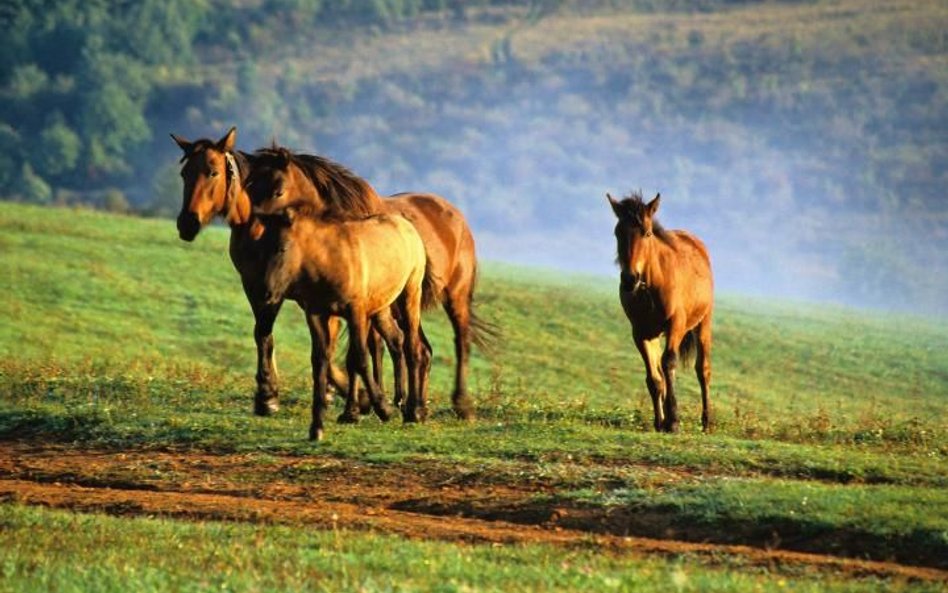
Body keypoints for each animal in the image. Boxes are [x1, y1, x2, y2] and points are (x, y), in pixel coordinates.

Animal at [252, 200, 430, 440]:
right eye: (260, 249)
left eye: (282, 248)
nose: (265, 293)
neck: (329, 261)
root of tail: (406, 225)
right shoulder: (317, 314)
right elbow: (321, 362)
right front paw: (317, 427)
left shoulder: (356, 311)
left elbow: (359, 359)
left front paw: (382, 408)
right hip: (381, 307)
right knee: (396, 340)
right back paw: (399, 400)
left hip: (410, 294)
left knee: (412, 347)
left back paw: (414, 411)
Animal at [608, 192, 712, 432]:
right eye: (617, 233)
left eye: (646, 233)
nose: (630, 279)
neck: (651, 286)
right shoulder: (640, 333)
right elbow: (654, 378)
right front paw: (660, 422)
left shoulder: (675, 325)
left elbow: (669, 363)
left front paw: (673, 421)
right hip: (655, 334)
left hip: (703, 322)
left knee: (703, 370)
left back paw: (707, 422)